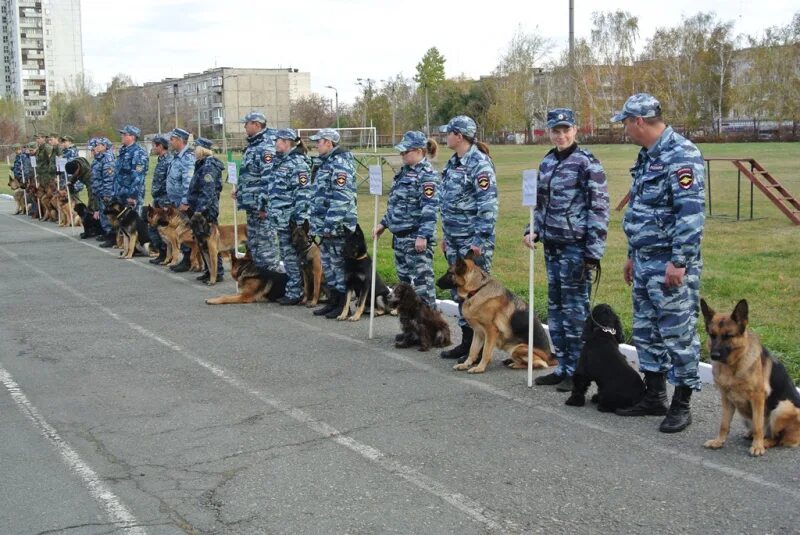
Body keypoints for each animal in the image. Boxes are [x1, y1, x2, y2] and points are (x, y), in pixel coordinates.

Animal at [700, 298, 800, 456]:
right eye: (712, 335)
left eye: (729, 336)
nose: (714, 355)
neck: (733, 366)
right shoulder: (726, 398)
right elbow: (724, 424)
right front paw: (719, 441)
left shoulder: (757, 397)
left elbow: (759, 425)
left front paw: (758, 446)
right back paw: (751, 435)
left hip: (783, 408)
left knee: (776, 438)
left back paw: (764, 442)